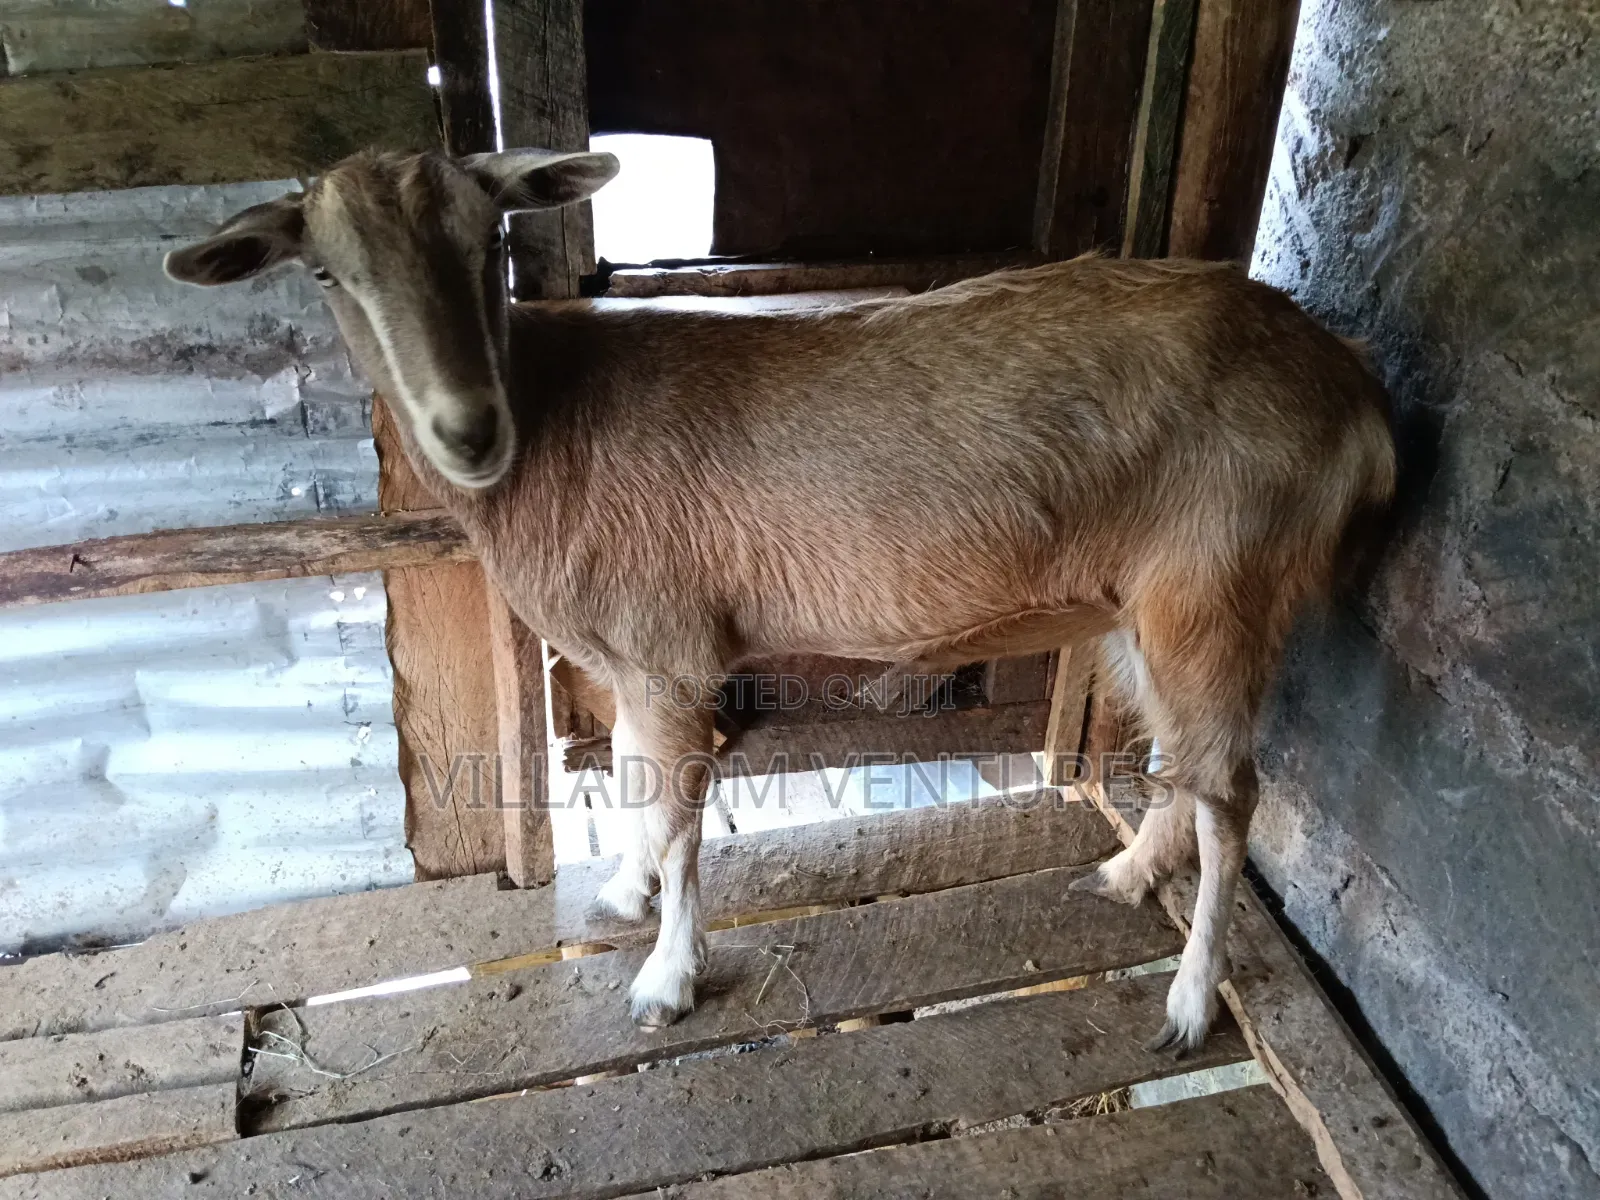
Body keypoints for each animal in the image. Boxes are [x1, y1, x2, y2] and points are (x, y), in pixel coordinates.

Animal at [165, 148, 1395, 1050]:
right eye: (326, 273)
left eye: (493, 241)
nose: (467, 428)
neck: (555, 418)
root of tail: (1354, 399)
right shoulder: (631, 662)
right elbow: (631, 780)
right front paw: (624, 895)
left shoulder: (669, 645)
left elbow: (675, 807)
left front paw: (665, 978)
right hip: (1141, 601)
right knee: (1185, 760)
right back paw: (1128, 872)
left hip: (1216, 582)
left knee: (1232, 790)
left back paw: (1189, 1001)